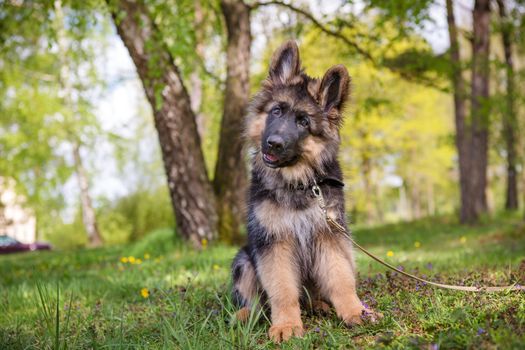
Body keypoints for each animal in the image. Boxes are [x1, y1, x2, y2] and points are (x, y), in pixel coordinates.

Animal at [231, 40, 378, 342]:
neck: (298, 182)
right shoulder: (274, 242)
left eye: (303, 122)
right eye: (276, 111)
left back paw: (321, 305)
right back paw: (245, 315)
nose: (273, 144)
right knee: (255, 301)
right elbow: (282, 289)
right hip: (244, 260)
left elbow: (340, 278)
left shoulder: (330, 236)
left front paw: (355, 311)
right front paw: (287, 324)